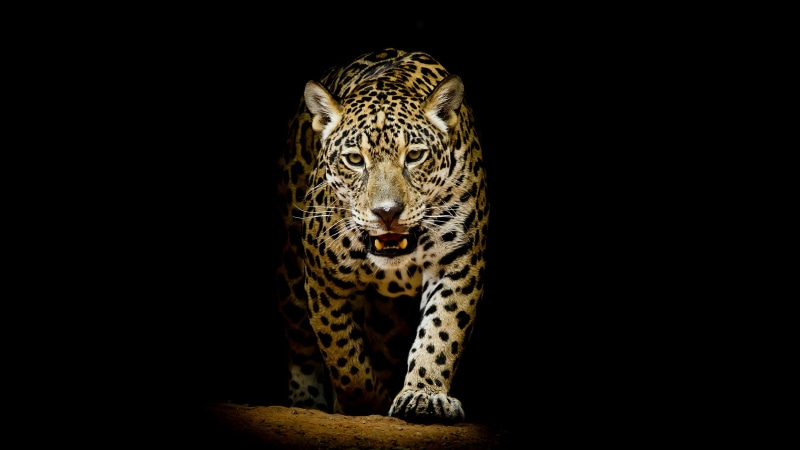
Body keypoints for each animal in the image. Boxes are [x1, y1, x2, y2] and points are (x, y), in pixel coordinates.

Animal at [276, 48, 489, 423]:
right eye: (354, 159)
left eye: (415, 156)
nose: (387, 212)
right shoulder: (322, 278)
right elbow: (342, 352)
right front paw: (363, 403)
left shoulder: (458, 262)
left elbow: (442, 330)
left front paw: (423, 396)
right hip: (290, 274)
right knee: (300, 341)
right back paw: (305, 400)